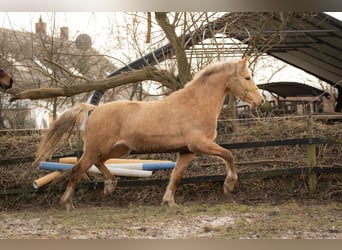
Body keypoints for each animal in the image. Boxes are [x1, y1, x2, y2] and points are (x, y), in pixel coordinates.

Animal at [34, 56, 264, 211]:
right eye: (247, 77)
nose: (260, 101)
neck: (196, 104)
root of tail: (94, 109)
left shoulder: (187, 151)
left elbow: (176, 176)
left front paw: (169, 202)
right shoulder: (200, 144)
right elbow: (229, 155)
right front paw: (229, 185)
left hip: (120, 149)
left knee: (98, 163)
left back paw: (109, 187)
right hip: (96, 149)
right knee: (77, 169)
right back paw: (68, 204)